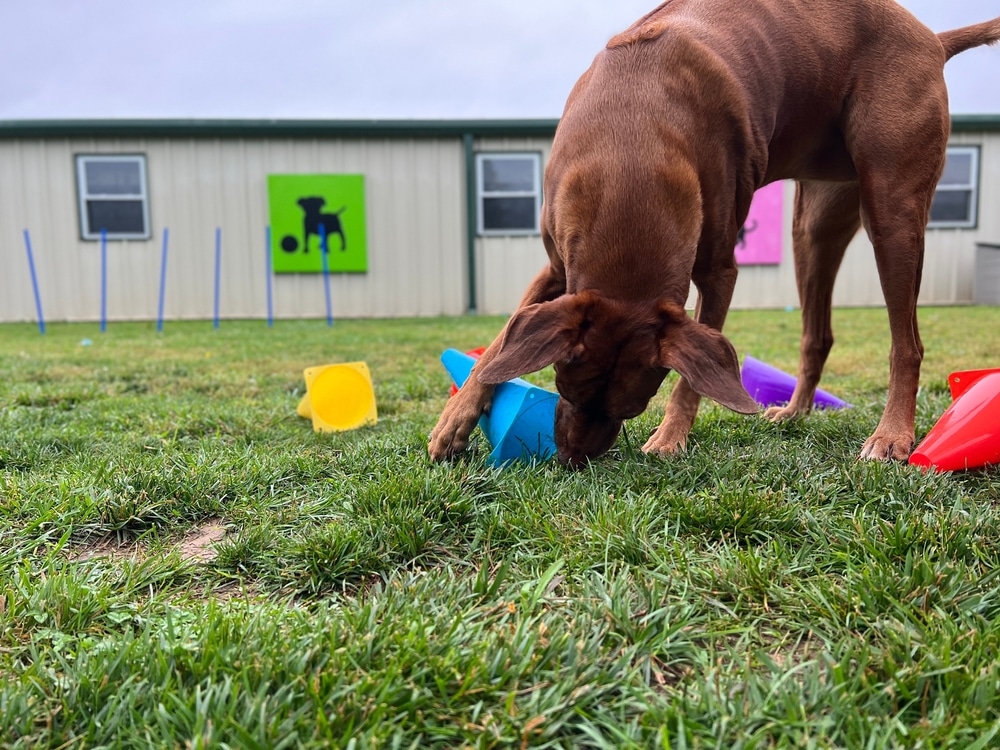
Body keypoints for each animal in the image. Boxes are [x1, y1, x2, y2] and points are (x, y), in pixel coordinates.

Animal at [430, 1, 1000, 470]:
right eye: (565, 388)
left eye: (631, 409)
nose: (573, 461)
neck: (630, 145)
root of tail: (932, 39)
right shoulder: (556, 267)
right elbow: (502, 340)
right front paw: (455, 420)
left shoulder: (720, 270)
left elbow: (692, 375)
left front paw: (669, 437)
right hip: (813, 227)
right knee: (817, 333)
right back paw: (794, 411)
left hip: (892, 209)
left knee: (908, 343)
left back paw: (892, 435)